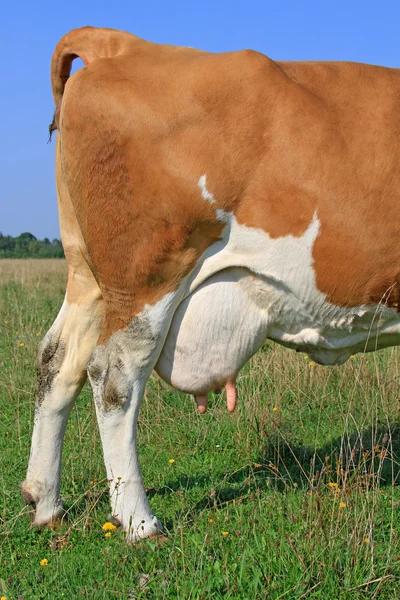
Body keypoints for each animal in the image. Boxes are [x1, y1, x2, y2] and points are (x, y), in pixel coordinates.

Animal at [21, 25, 400, 540]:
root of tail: (124, 44)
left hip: (90, 276)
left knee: (58, 362)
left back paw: (46, 503)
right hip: (148, 277)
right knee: (114, 375)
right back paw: (139, 522)